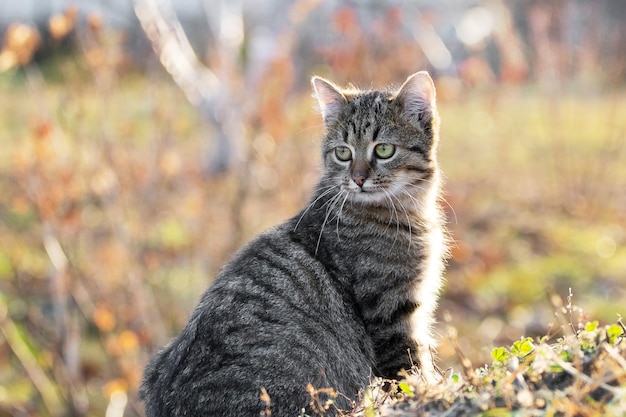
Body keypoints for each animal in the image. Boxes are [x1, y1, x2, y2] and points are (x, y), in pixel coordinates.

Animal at [139, 72, 446, 416]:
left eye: (383, 150)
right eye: (343, 153)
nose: (357, 179)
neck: (407, 210)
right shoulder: (391, 312)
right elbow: (411, 371)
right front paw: (430, 392)